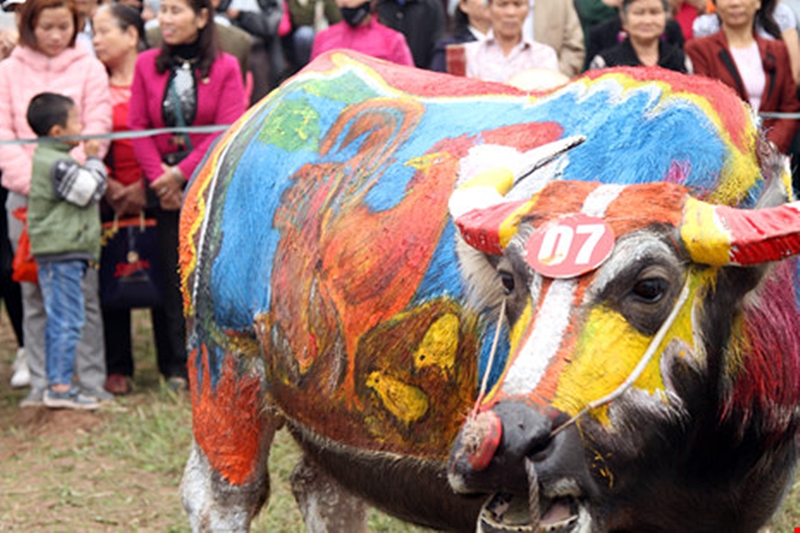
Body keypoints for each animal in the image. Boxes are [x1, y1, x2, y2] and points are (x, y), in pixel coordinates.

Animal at [177, 51, 800, 532]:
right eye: (509, 280)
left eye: (650, 286)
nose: (505, 444)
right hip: (223, 371)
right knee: (222, 494)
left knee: (324, 490)